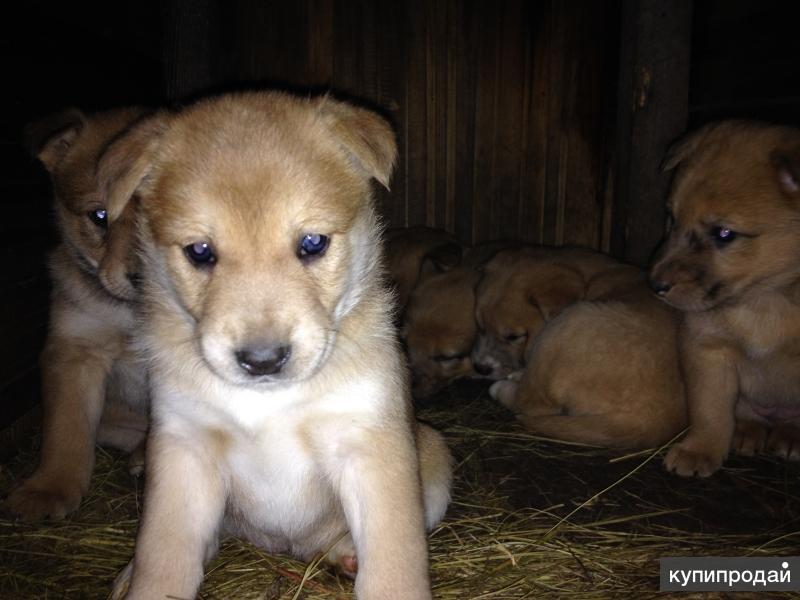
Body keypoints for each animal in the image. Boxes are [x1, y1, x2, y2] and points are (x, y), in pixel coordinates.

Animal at [98, 90, 450, 600]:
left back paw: (346, 554)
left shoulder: (370, 445)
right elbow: (163, 560)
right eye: (199, 252)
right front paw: (144, 581)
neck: (268, 402)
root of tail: (284, 549)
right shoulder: (184, 448)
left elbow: (394, 566)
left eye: (313, 243)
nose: (262, 361)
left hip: (434, 453)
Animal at [478, 246, 684, 448]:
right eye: (481, 327)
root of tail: (652, 422)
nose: (481, 369)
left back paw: (499, 388)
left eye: (513, 336)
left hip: (564, 326)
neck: (589, 279)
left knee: (530, 401)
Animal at [652, 120, 800, 478]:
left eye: (724, 233)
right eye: (671, 217)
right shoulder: (706, 347)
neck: (765, 300)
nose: (655, 284)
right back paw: (747, 431)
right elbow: (711, 409)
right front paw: (700, 450)